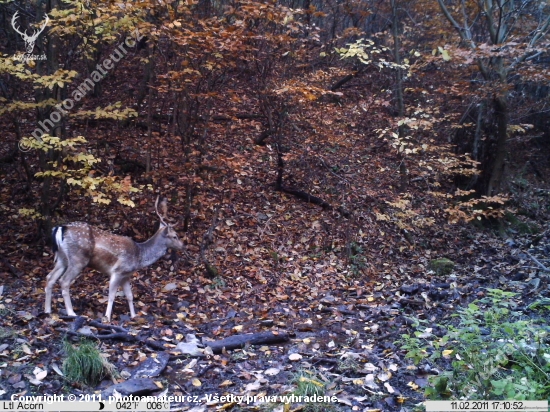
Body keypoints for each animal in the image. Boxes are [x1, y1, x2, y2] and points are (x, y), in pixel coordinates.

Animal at [44, 197, 183, 322]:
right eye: (175, 236)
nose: (183, 246)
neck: (139, 255)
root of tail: (60, 228)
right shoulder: (118, 271)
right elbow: (111, 296)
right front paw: (107, 317)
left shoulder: (126, 275)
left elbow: (130, 296)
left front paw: (134, 316)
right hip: (78, 259)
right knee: (64, 281)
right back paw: (71, 313)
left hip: (62, 258)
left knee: (50, 277)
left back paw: (47, 310)